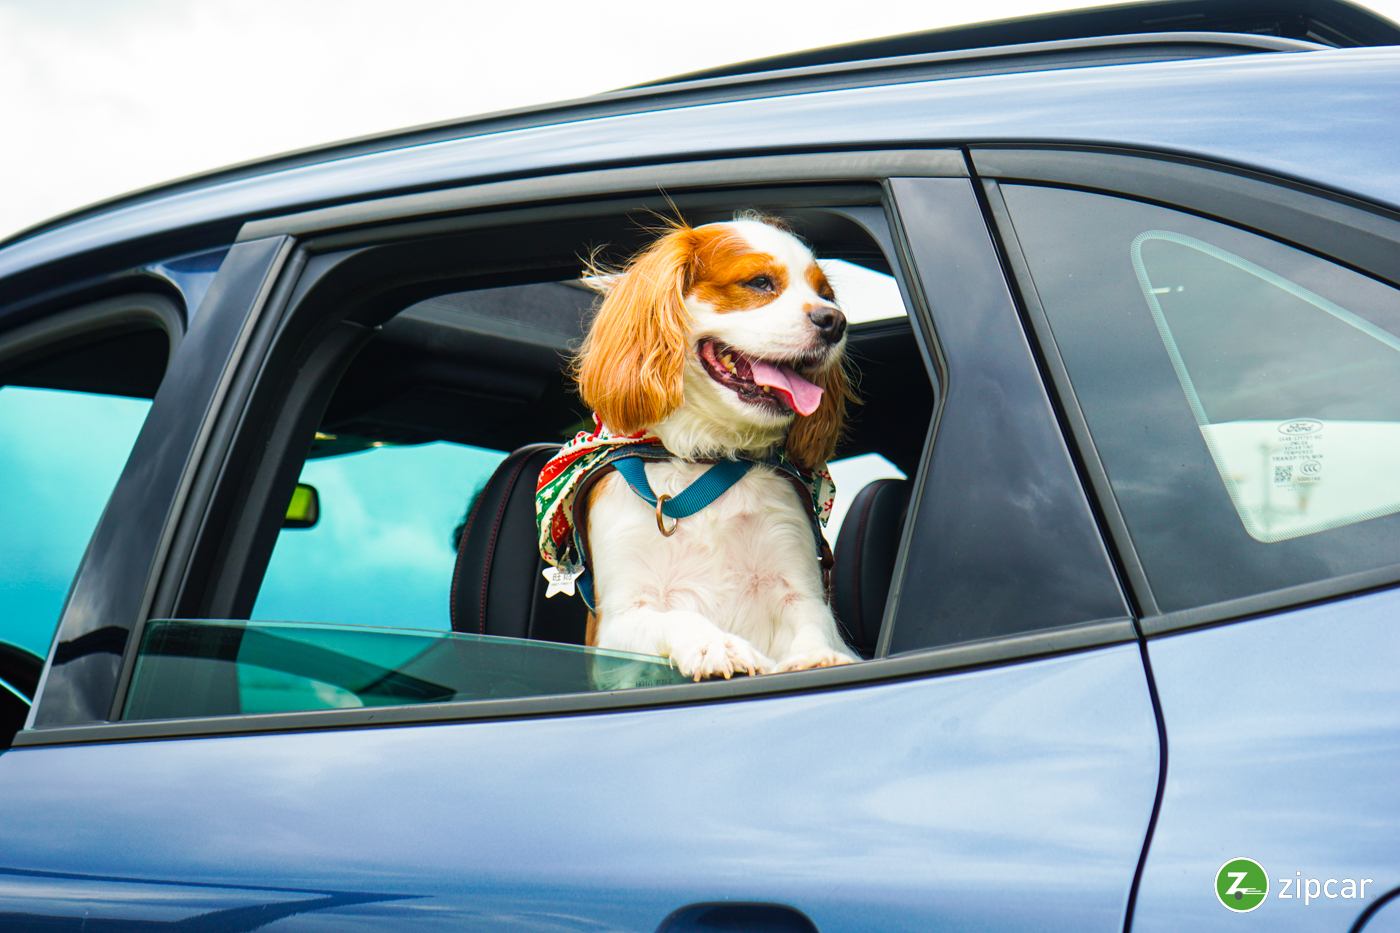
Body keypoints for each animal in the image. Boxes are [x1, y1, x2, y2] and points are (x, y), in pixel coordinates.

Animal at [554, 212, 856, 675]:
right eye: (760, 282)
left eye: (827, 295)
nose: (835, 321)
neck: (705, 460)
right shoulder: (617, 620)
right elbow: (678, 617)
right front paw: (718, 645)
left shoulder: (798, 586)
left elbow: (814, 624)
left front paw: (817, 657)